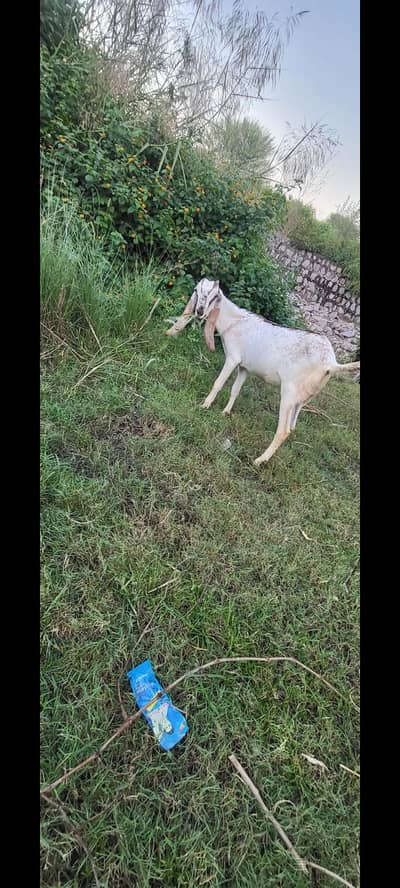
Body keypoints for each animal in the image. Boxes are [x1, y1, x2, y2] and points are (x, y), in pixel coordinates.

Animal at [166, 278, 360, 465]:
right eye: (197, 291)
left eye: (214, 296)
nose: (199, 311)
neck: (235, 322)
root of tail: (331, 362)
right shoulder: (244, 367)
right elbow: (235, 390)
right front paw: (225, 412)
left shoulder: (233, 359)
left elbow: (218, 383)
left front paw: (204, 406)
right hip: (303, 399)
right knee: (292, 427)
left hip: (289, 392)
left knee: (283, 431)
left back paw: (259, 461)